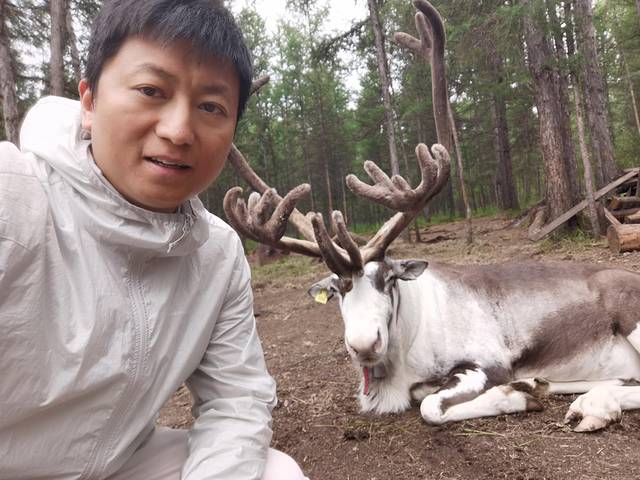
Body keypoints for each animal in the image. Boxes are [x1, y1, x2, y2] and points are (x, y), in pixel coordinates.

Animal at [223, 0, 640, 432]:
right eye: (337, 289)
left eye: (388, 278)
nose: (363, 344)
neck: (403, 353)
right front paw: (529, 388)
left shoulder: (488, 361)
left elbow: (431, 406)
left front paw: (517, 395)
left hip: (631, 315)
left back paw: (593, 405)